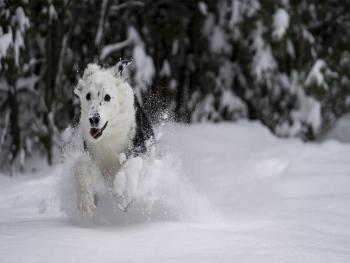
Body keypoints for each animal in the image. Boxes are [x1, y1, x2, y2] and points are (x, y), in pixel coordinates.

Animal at [72, 61, 153, 219]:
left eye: (107, 97)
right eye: (88, 95)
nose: (94, 119)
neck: (109, 135)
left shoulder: (137, 148)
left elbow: (129, 167)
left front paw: (123, 197)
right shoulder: (93, 156)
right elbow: (80, 166)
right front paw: (86, 204)